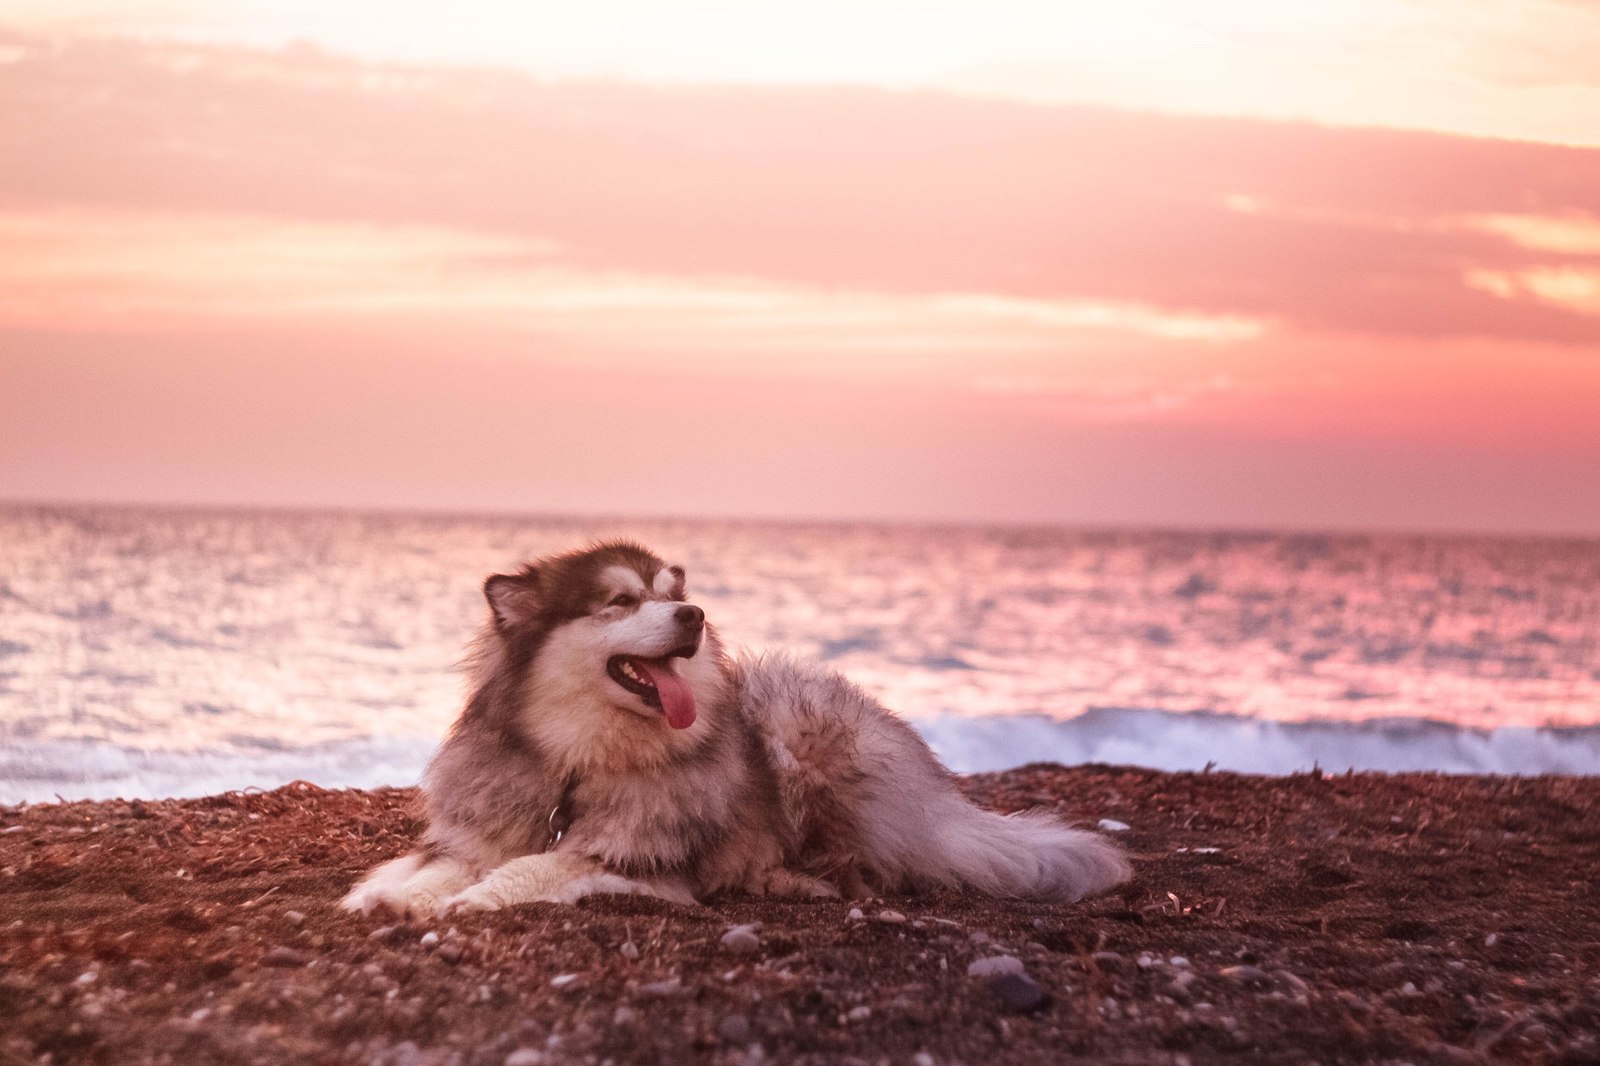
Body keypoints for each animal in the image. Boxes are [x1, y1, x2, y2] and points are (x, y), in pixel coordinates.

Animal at [344, 541, 1132, 915]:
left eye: (674, 595)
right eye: (620, 602)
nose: (694, 615)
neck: (577, 763)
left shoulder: (641, 860)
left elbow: (536, 867)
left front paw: (475, 899)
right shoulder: (485, 829)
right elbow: (434, 865)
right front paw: (393, 897)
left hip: (801, 730)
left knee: (857, 867)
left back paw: (790, 880)